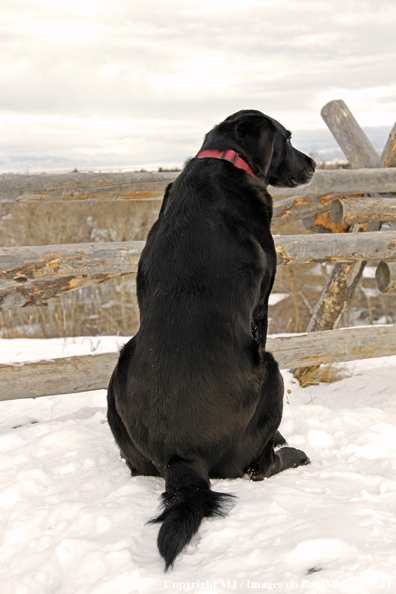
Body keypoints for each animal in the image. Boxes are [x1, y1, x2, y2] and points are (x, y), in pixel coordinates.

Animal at [106, 108, 316, 568]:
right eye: (288, 138)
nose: (313, 164)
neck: (224, 160)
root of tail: (182, 459)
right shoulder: (261, 305)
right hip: (270, 369)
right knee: (256, 468)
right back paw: (292, 454)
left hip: (118, 373)